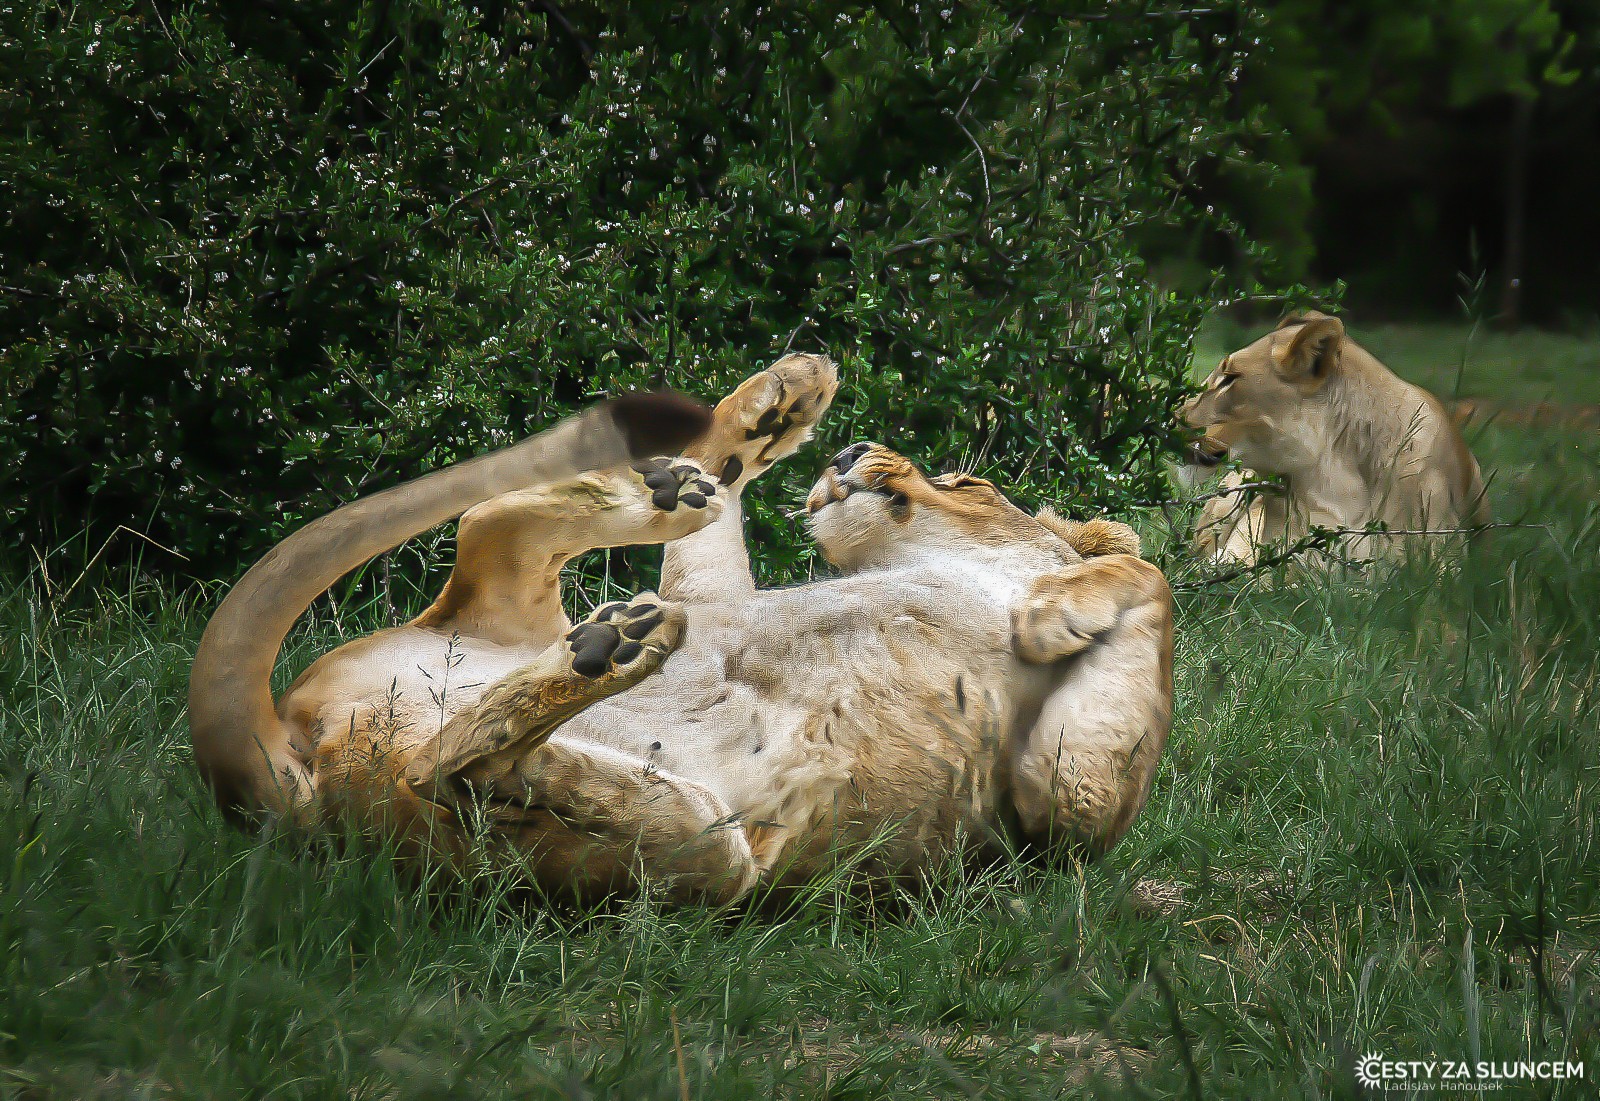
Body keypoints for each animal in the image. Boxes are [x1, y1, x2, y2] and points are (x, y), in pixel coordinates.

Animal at [190, 356, 1173, 903]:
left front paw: (1052, 612)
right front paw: (781, 403)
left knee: (454, 763)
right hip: (508, 623)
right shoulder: (721, 588)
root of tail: (293, 785)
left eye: (969, 482)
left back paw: (596, 663)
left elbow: (1153, 580)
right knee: (493, 524)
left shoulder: (1064, 813)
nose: (851, 451)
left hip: (707, 859)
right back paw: (687, 478)